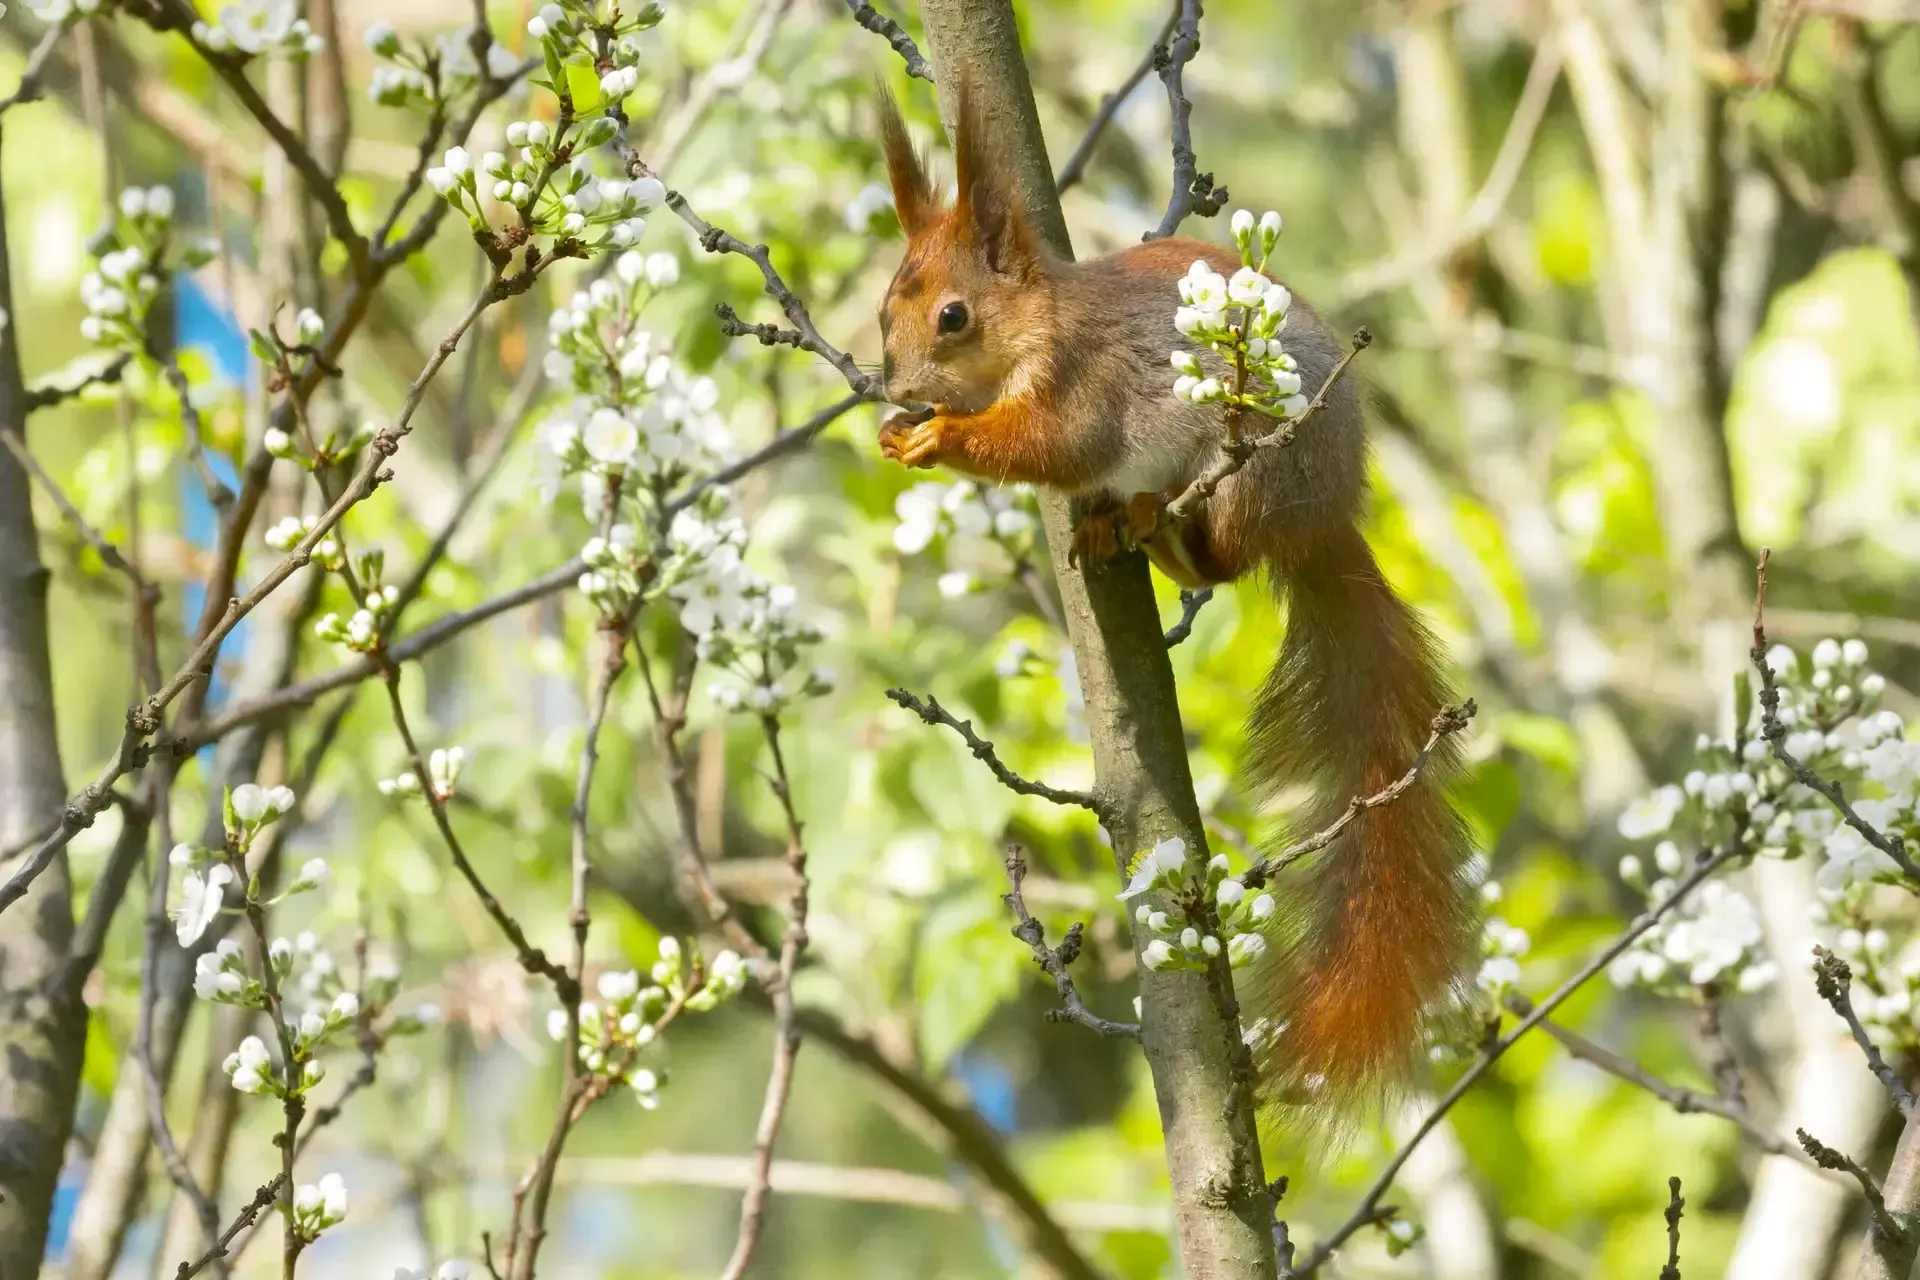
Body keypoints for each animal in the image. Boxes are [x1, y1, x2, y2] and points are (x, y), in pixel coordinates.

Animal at [872, 88, 1475, 1127]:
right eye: (883, 311)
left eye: (953, 317)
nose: (895, 387)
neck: (1039, 324)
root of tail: (1326, 526)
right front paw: (896, 431)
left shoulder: (1087, 383)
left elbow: (1052, 445)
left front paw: (942, 436)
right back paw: (1118, 520)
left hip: (1255, 471)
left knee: (1227, 561)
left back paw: (1155, 523)